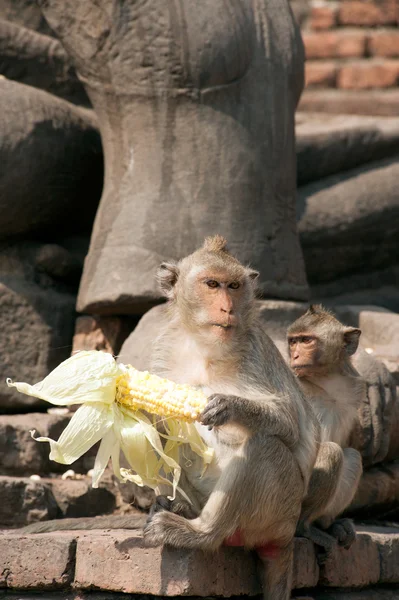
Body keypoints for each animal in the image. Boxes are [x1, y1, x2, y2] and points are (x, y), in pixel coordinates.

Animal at [142, 236, 320, 600]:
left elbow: (289, 425)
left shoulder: (254, 352)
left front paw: (228, 407)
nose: (228, 308)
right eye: (212, 284)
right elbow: (159, 423)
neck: (203, 346)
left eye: (234, 286)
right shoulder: (163, 348)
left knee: (264, 446)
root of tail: (286, 536)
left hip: (278, 510)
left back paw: (198, 532)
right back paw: (177, 509)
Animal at [288, 308, 366, 560]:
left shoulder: (355, 390)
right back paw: (304, 528)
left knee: (352, 456)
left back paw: (328, 525)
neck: (326, 379)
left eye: (306, 340)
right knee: (332, 451)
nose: (294, 356)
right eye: (292, 342)